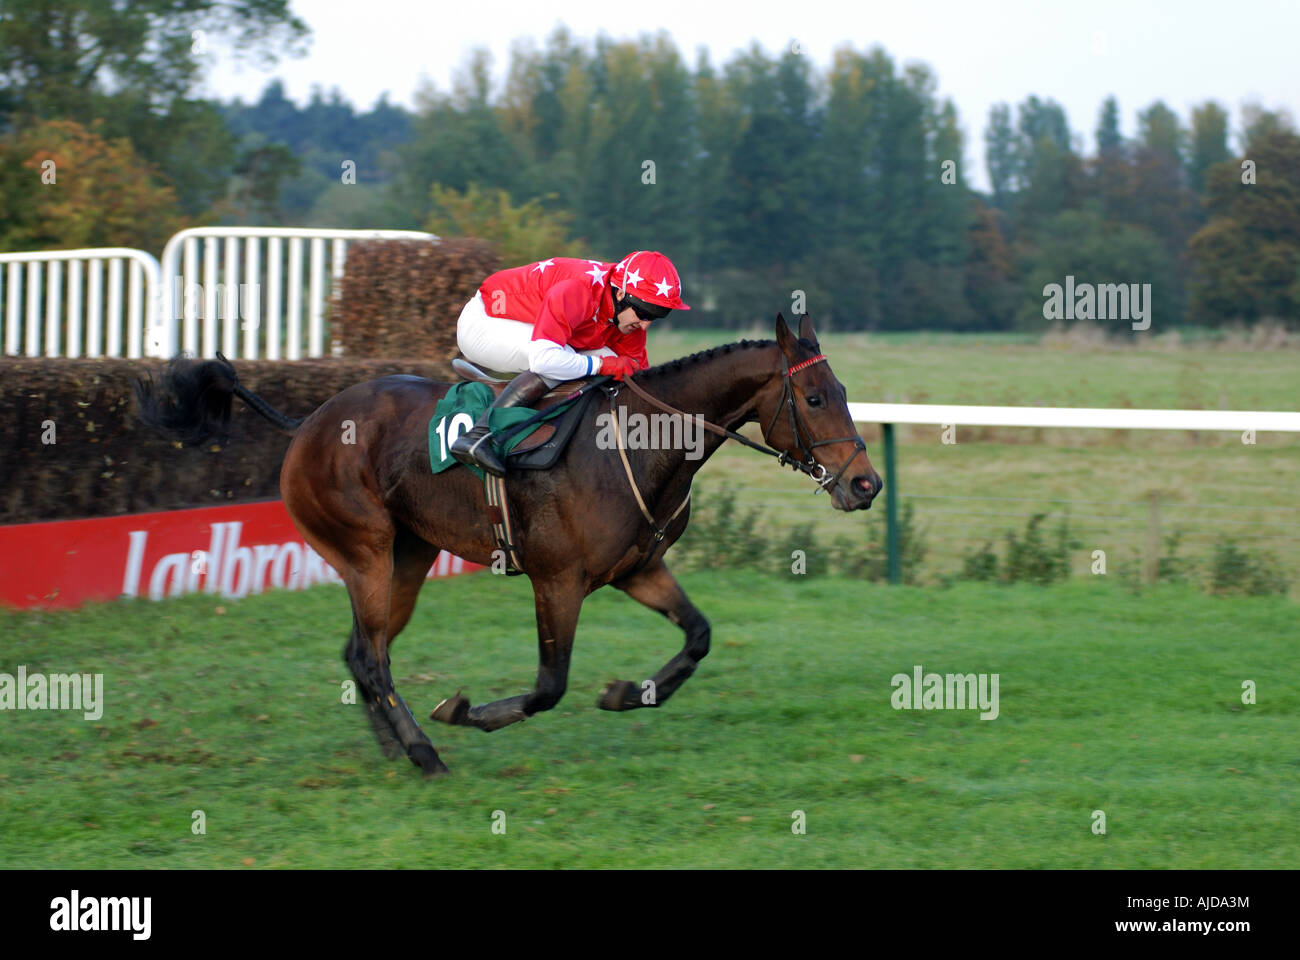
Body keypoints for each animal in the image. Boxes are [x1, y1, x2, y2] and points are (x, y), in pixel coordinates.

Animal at [134, 310, 883, 775]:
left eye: (845, 388)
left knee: (363, 653)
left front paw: (625, 693)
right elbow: (549, 686)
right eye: (815, 398)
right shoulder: (557, 581)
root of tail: (311, 419)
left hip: (409, 555)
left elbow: (697, 636)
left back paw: (395, 745)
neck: (638, 446)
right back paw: (424, 752)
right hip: (365, 550)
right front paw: (470, 711)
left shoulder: (638, 568)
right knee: (372, 658)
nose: (865, 484)